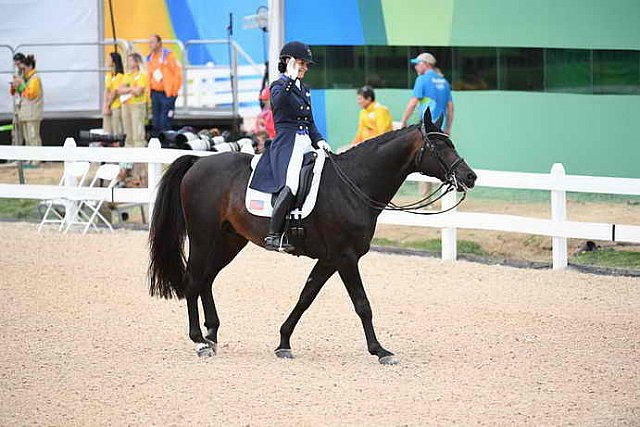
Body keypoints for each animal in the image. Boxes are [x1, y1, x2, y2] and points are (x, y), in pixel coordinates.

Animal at [149, 108, 476, 366]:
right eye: (438, 146)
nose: (470, 177)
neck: (354, 184)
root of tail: (199, 162)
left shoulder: (330, 259)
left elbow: (306, 296)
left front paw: (283, 343)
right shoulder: (345, 257)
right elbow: (362, 304)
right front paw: (380, 351)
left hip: (229, 240)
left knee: (207, 279)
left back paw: (212, 335)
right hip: (203, 237)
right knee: (193, 279)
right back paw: (199, 341)